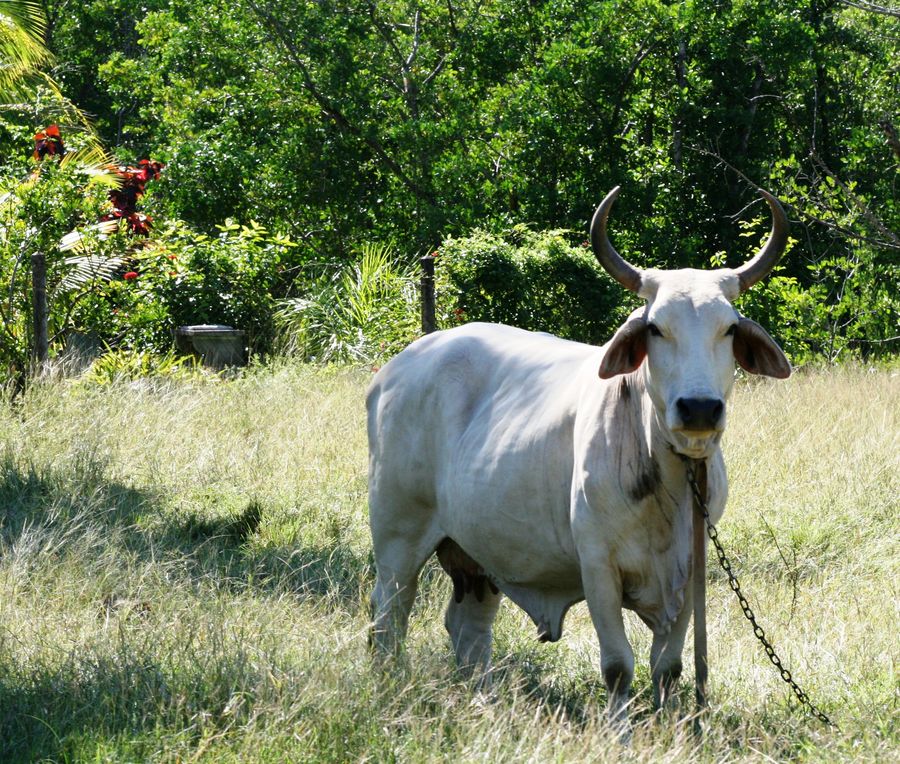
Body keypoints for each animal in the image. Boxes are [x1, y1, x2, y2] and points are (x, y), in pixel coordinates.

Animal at [366, 188, 788, 720]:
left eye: (729, 328)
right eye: (655, 328)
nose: (699, 408)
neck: (668, 482)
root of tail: (398, 367)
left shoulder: (689, 574)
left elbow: (669, 667)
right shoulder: (598, 569)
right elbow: (618, 666)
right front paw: (619, 728)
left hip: (478, 556)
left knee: (468, 631)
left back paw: (482, 701)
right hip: (397, 538)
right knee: (387, 617)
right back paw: (388, 686)